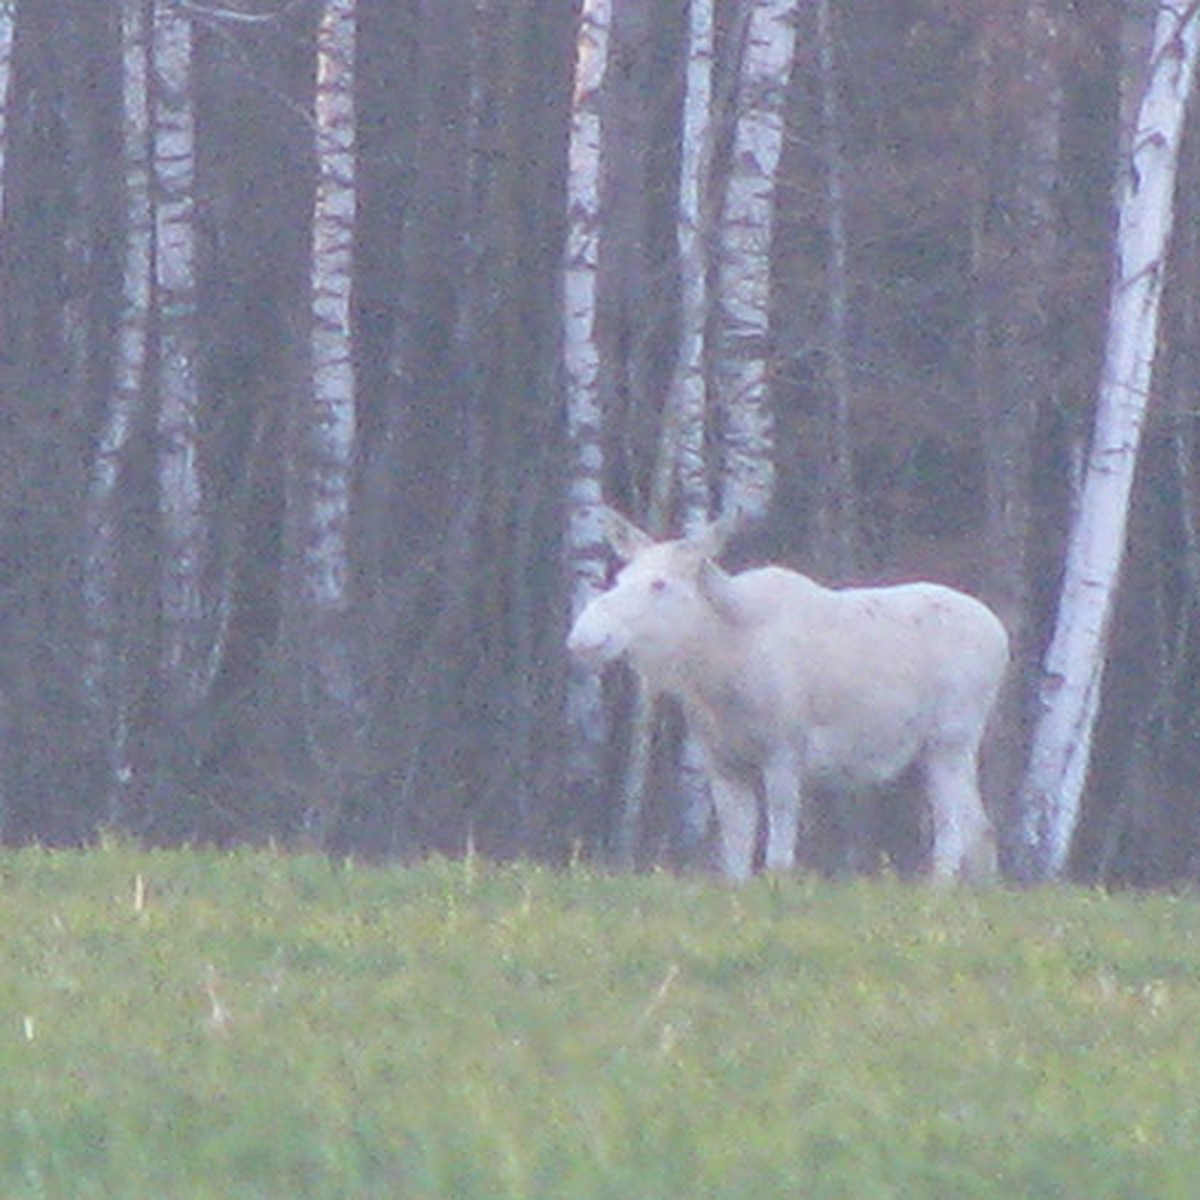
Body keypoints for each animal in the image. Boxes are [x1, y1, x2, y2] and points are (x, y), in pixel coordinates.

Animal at [566, 506, 1008, 883]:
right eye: (619, 578)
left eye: (659, 583)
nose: (585, 637)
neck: (715, 676)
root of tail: (1001, 637)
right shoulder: (722, 761)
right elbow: (736, 857)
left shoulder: (784, 750)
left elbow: (778, 852)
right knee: (981, 826)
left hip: (950, 737)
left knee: (952, 828)